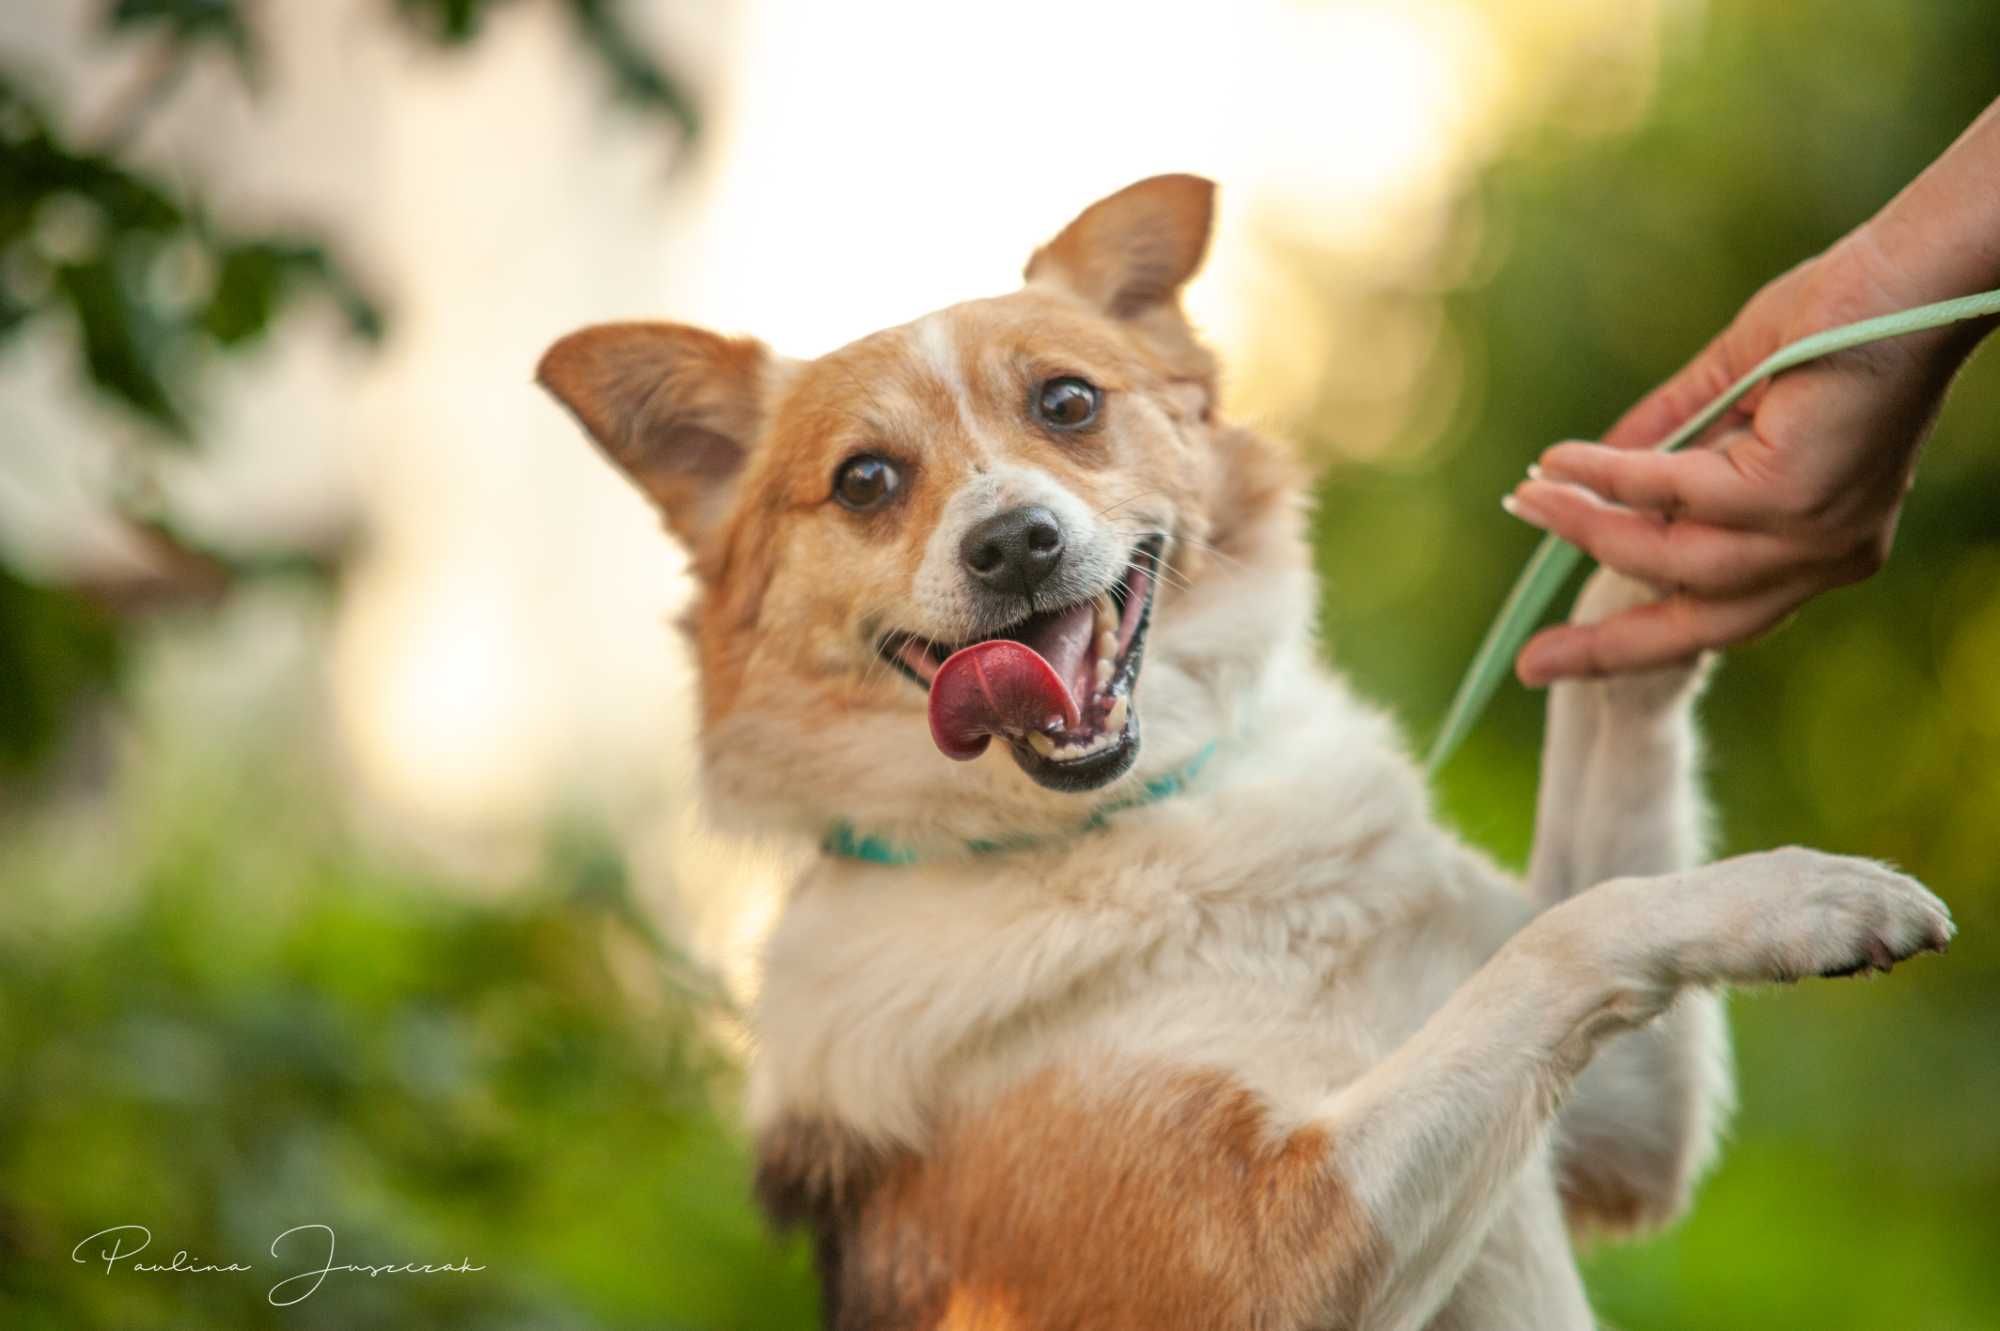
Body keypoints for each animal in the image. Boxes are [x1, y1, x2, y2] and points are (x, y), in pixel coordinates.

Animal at [536, 175, 1952, 1327]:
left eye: (1067, 401)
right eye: (865, 481)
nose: (1012, 544)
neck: (1130, 826)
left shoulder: (1616, 1130)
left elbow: (1600, 805)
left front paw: (1669, 504)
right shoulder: (1268, 1253)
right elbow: (1574, 931)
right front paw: (1811, 894)